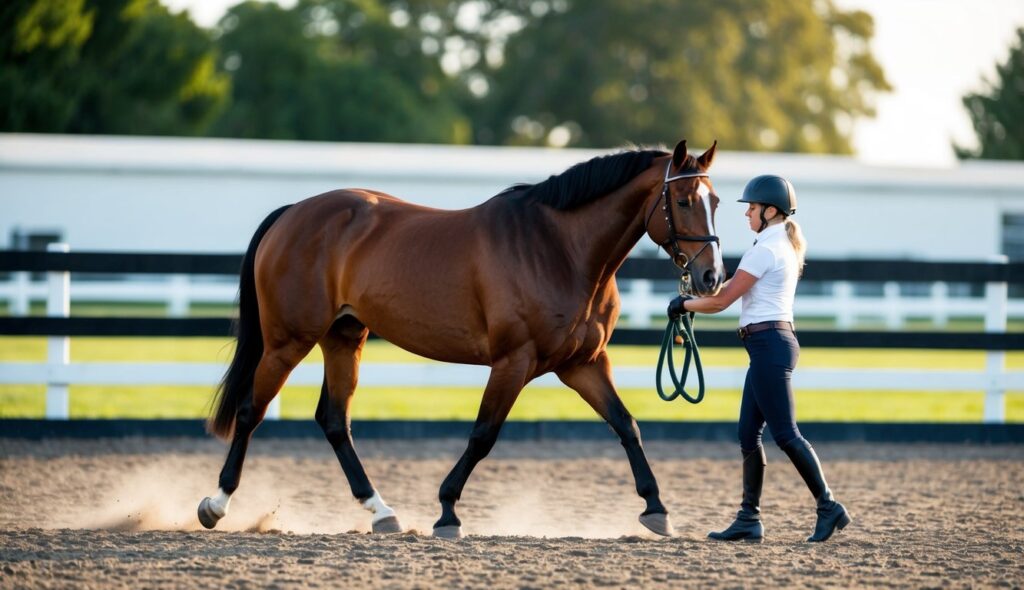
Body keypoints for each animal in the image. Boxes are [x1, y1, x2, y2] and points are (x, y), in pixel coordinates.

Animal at [199, 140, 724, 536]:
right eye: (682, 201)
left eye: (715, 201)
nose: (711, 278)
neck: (560, 249)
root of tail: (294, 213)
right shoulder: (514, 361)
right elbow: (482, 435)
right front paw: (448, 512)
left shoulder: (584, 363)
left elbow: (626, 425)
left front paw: (657, 509)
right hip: (288, 341)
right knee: (250, 411)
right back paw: (216, 504)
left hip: (344, 337)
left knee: (334, 421)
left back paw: (382, 512)